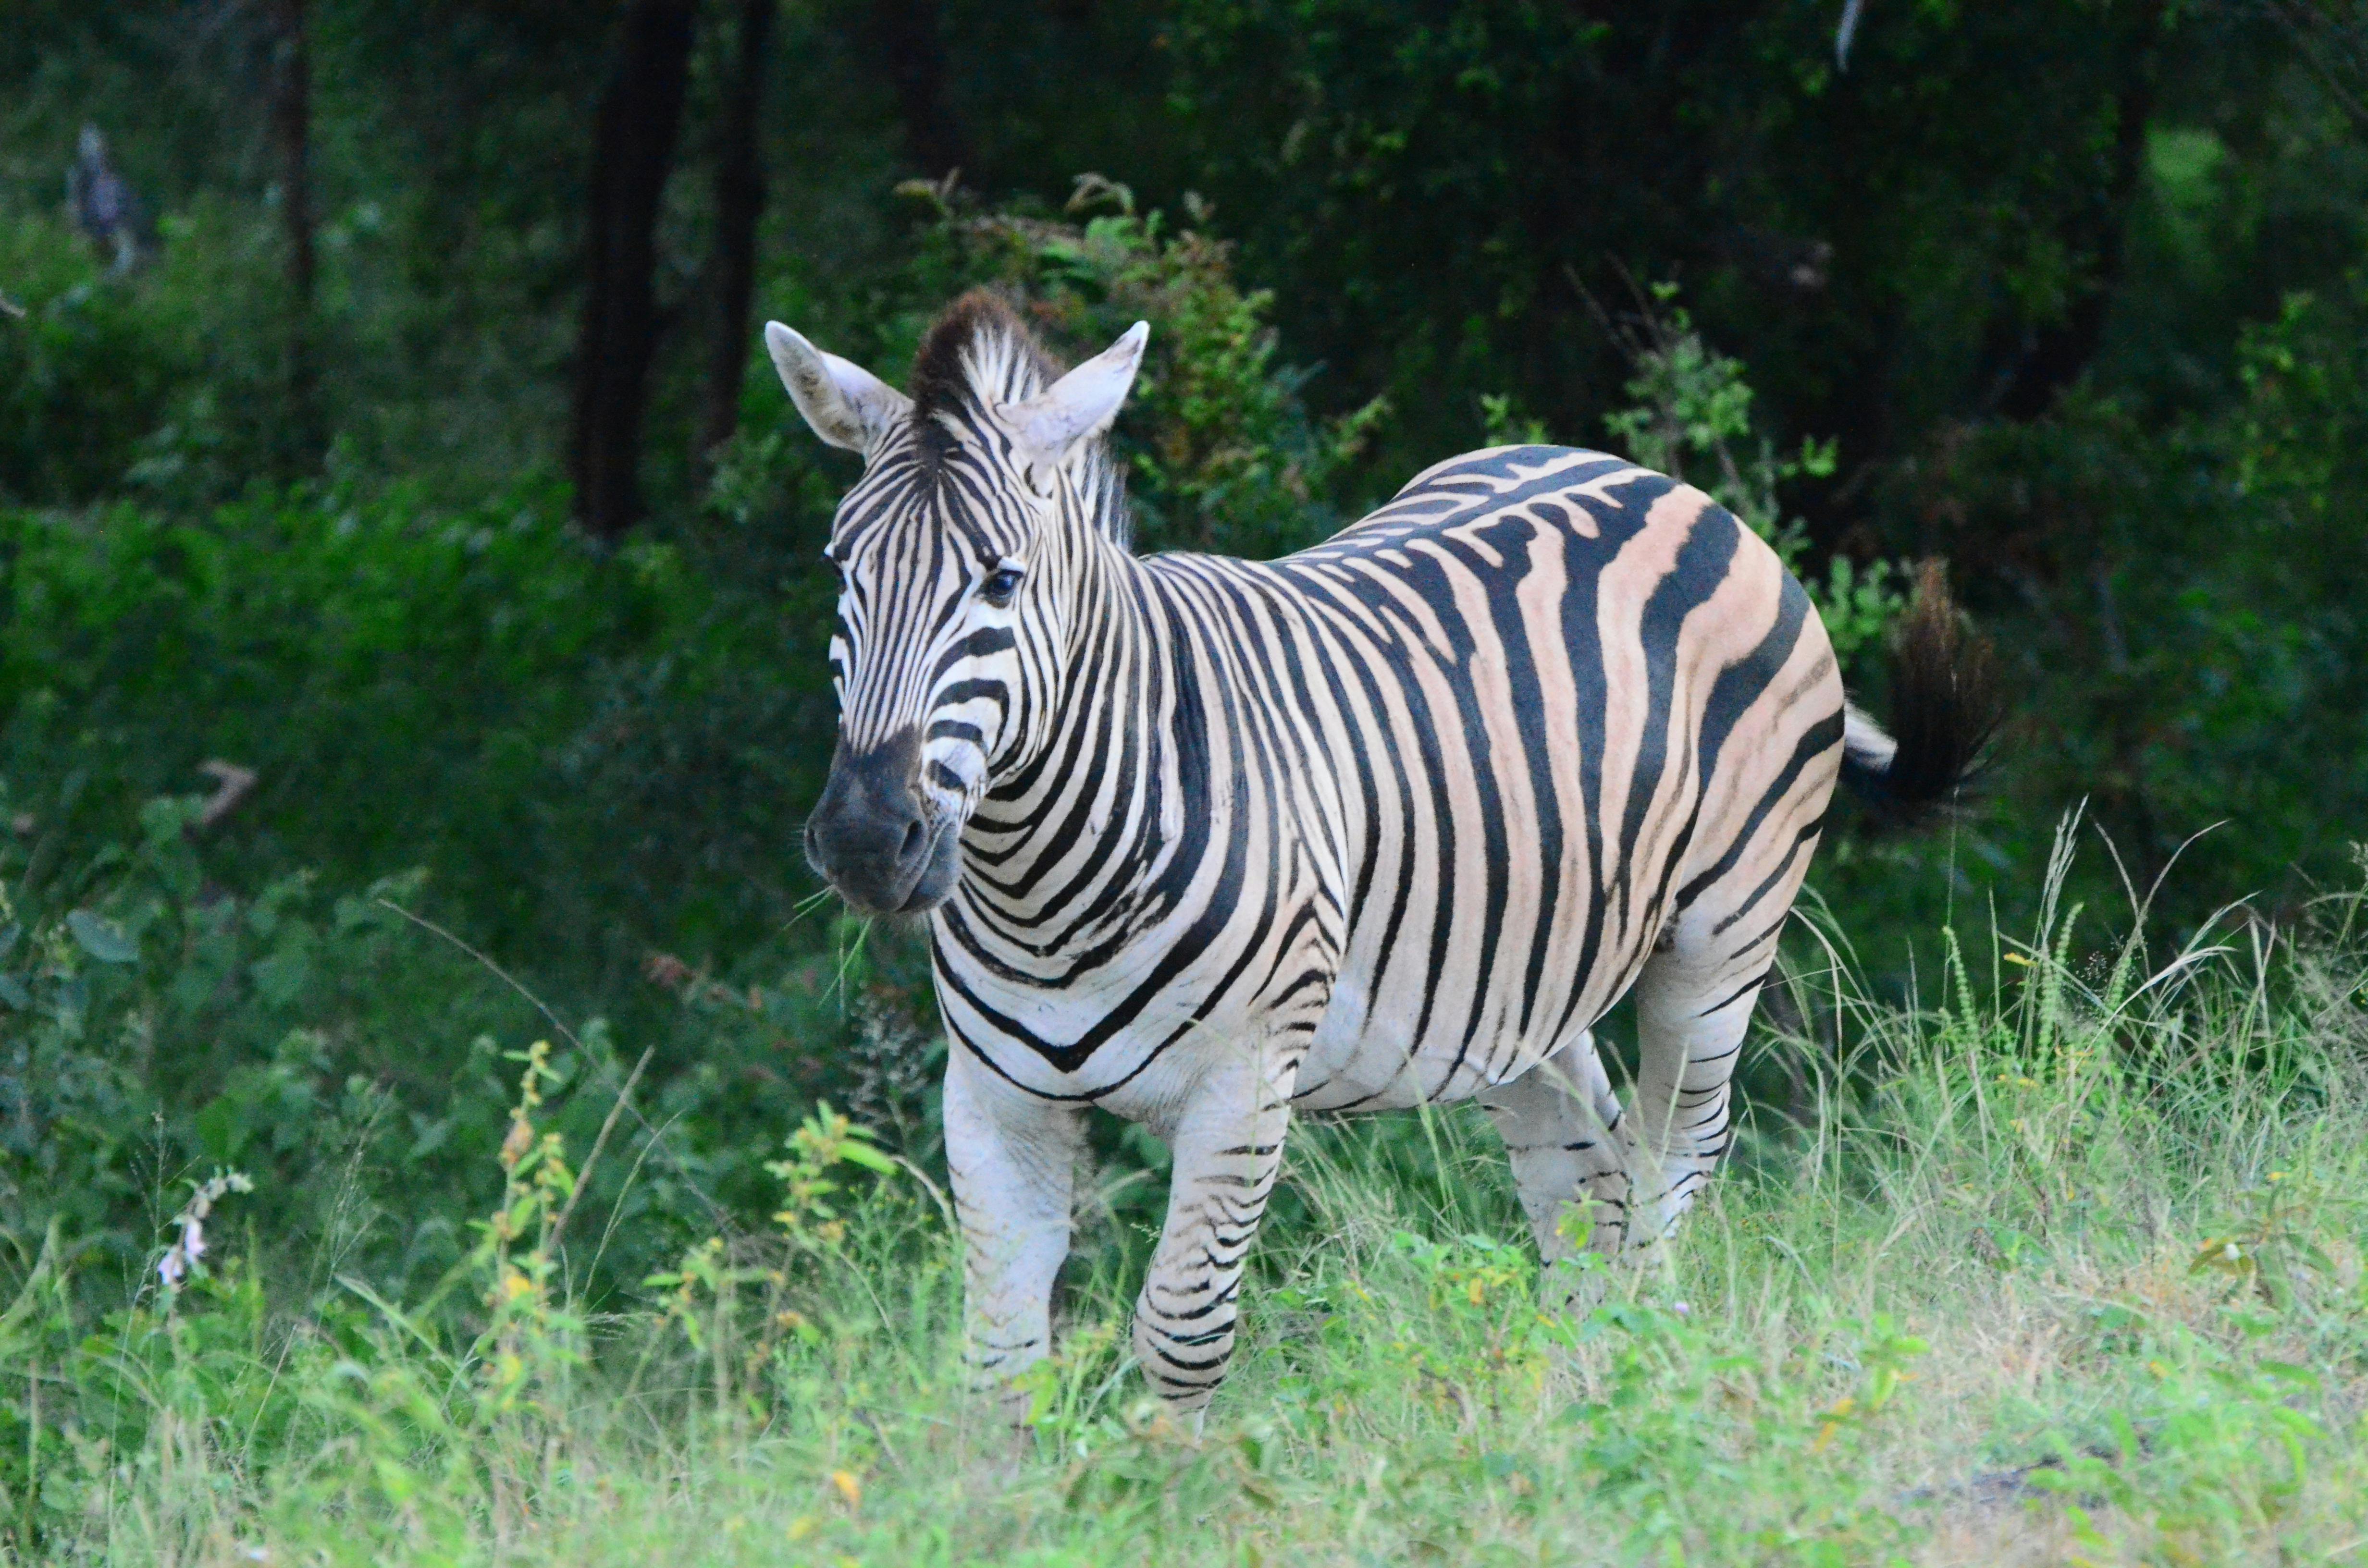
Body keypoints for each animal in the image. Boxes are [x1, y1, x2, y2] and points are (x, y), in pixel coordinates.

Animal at [768, 291, 1995, 1415]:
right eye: (838, 569)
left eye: (1002, 580)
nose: (865, 840)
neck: (1043, 879)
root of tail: (1671, 488)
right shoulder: (995, 1097)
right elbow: (999, 1367)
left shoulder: (1245, 1082)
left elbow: (1181, 1332)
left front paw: (1177, 1494)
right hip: (1517, 984)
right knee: (1585, 1187)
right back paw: (1568, 1412)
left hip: (1720, 940)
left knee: (1669, 1163)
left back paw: (1635, 1389)